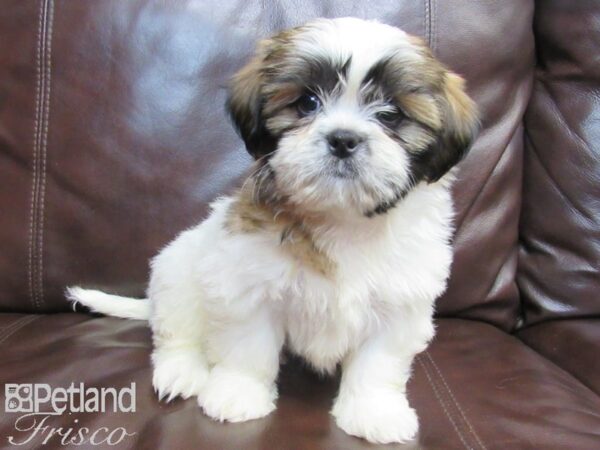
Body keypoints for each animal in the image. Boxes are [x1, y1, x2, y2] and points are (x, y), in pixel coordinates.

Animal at [67, 16, 478, 442]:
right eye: (308, 103)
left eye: (390, 115)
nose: (343, 139)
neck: (342, 218)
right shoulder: (247, 283)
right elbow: (248, 347)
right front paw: (238, 394)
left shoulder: (401, 302)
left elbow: (377, 363)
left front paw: (373, 411)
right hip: (177, 271)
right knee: (177, 333)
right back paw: (180, 372)